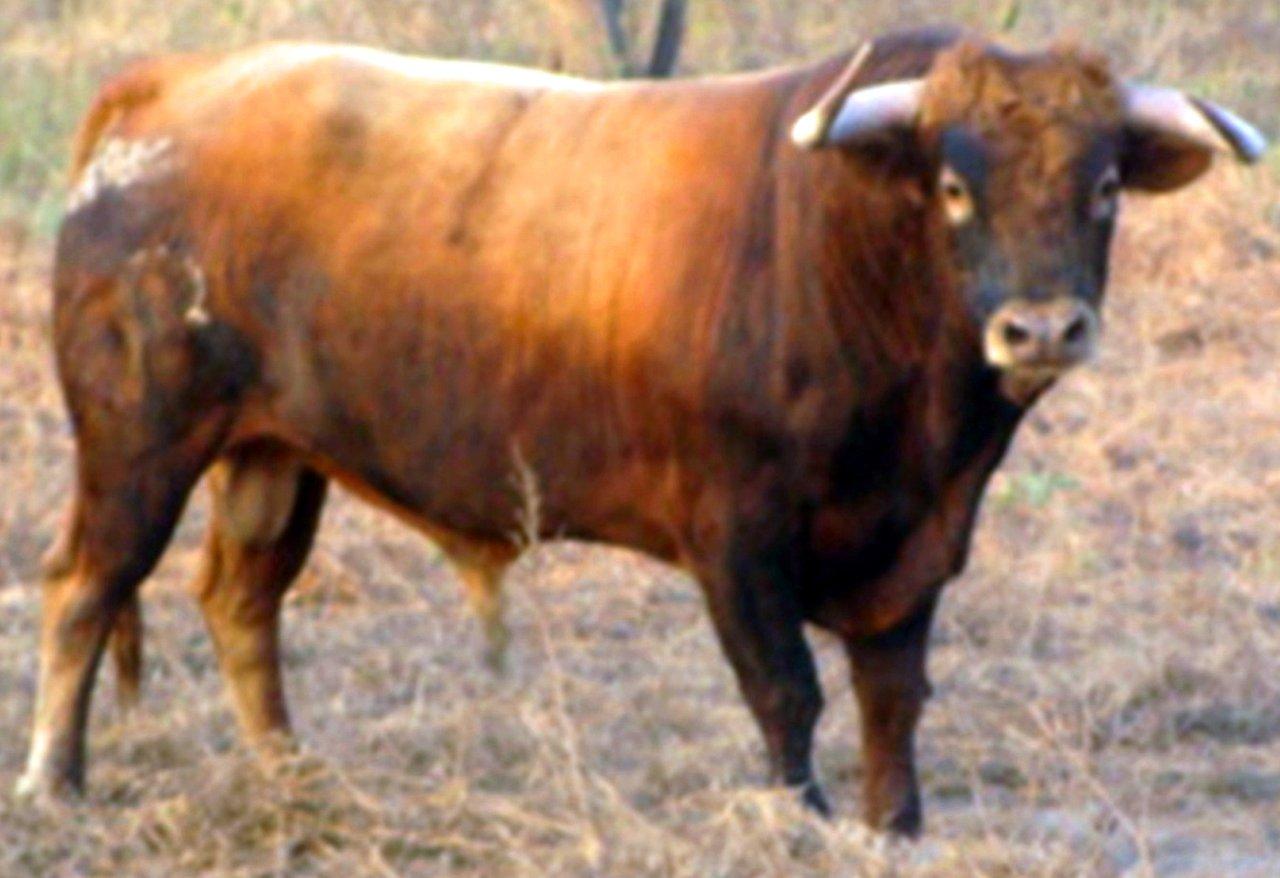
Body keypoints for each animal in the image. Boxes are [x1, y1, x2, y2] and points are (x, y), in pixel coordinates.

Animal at [16, 28, 1266, 836]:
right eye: (955, 187)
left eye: (1102, 185)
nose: (1041, 325)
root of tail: (170, 85)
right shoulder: (736, 531)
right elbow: (786, 688)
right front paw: (801, 821)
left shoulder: (914, 542)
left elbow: (891, 695)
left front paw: (893, 824)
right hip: (139, 442)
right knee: (85, 584)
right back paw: (53, 784)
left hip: (272, 451)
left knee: (241, 598)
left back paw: (288, 776)